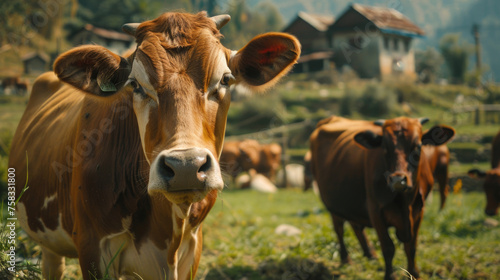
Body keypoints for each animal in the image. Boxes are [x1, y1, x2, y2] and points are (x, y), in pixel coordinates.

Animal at [9, 11, 298, 280]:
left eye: (225, 80)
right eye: (135, 85)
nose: (185, 166)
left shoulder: (192, 249)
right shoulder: (92, 247)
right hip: (49, 243)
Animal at [312, 116, 458, 280]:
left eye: (418, 146)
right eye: (384, 148)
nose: (398, 180)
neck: (404, 202)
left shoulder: (419, 210)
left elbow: (411, 246)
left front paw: (414, 273)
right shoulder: (375, 210)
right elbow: (388, 247)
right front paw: (390, 275)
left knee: (355, 225)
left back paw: (370, 254)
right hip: (333, 203)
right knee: (339, 229)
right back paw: (346, 258)